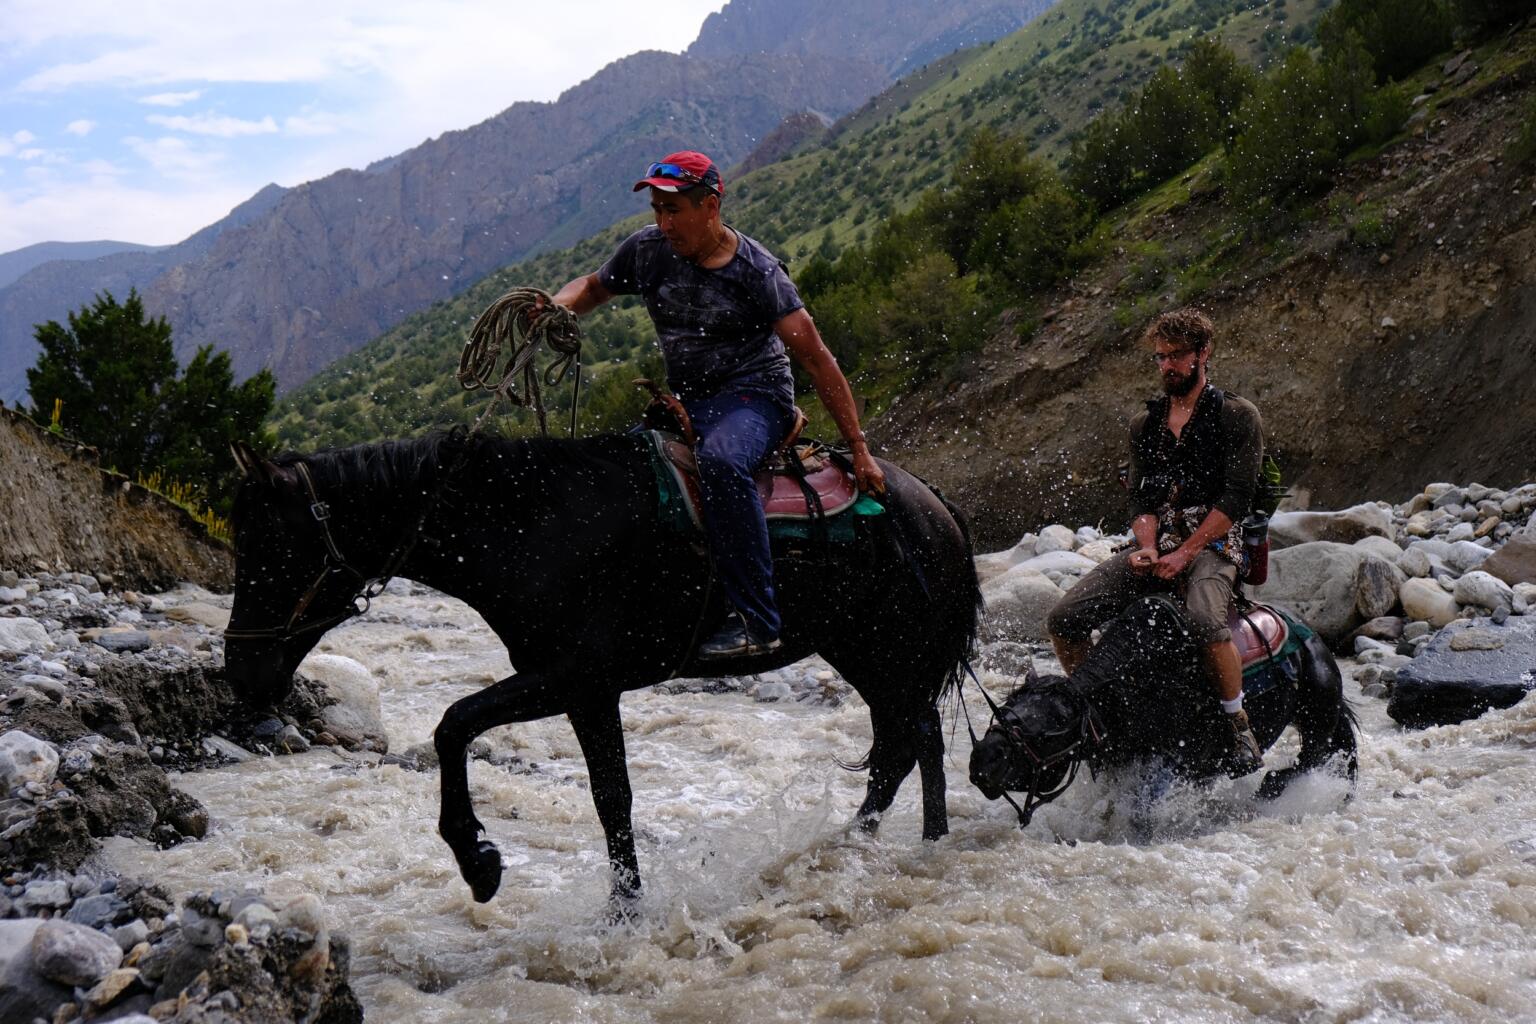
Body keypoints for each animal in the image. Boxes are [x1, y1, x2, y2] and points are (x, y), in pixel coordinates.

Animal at [222, 429, 976, 902]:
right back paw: (867, 845)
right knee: (904, 744)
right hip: (862, 651)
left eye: (272, 547)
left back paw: (907, 845)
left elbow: (455, 723)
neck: (531, 525)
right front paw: (623, 909)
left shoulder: (574, 678)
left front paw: (479, 861)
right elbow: (609, 798)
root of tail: (933, 501)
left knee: (913, 740)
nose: (242, 673)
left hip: (892, 650)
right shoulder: (585, 692)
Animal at [970, 592, 1357, 822]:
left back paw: (1268, 789)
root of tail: (1315, 642)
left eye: (1057, 722)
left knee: (1308, 761)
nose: (985, 758)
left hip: (1318, 717)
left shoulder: (1172, 765)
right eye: (1007, 704)